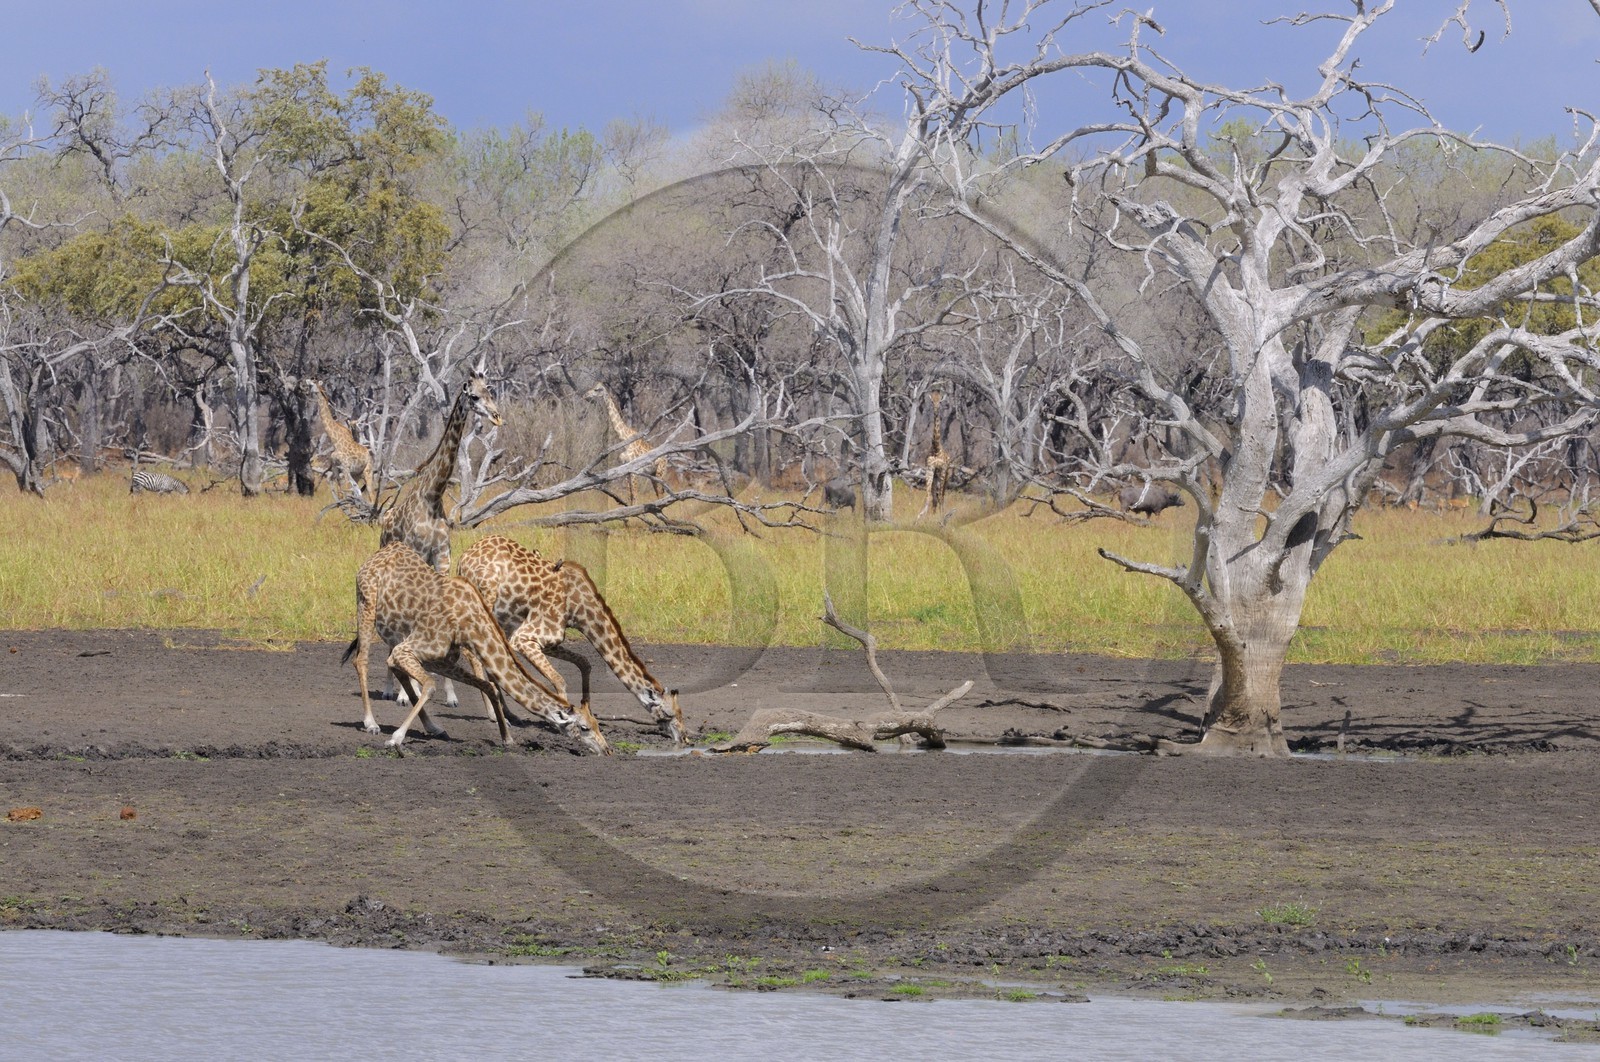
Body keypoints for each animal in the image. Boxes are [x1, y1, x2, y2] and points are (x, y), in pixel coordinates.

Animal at [342, 542, 610, 753]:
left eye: (597, 723)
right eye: (584, 727)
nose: (606, 749)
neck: (469, 623)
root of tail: (375, 556)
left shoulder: (442, 659)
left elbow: (486, 685)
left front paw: (507, 738)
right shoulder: (409, 649)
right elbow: (430, 685)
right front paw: (396, 738)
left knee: (391, 666)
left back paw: (434, 728)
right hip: (365, 605)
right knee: (361, 660)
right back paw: (371, 723)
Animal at [378, 369, 503, 708]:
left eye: (490, 390)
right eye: (473, 396)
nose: (496, 416)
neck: (433, 495)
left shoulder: (443, 558)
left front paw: (450, 694)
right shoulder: (419, 554)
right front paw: (408, 692)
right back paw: (393, 689)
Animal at [458, 534, 688, 745]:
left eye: (681, 713)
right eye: (670, 714)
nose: (684, 737)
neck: (578, 607)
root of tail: (463, 559)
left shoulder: (551, 641)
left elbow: (584, 663)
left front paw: (588, 711)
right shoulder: (524, 638)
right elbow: (559, 679)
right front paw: (565, 722)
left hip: (500, 618)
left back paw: (511, 715)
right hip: (486, 599)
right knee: (472, 652)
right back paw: (492, 714)